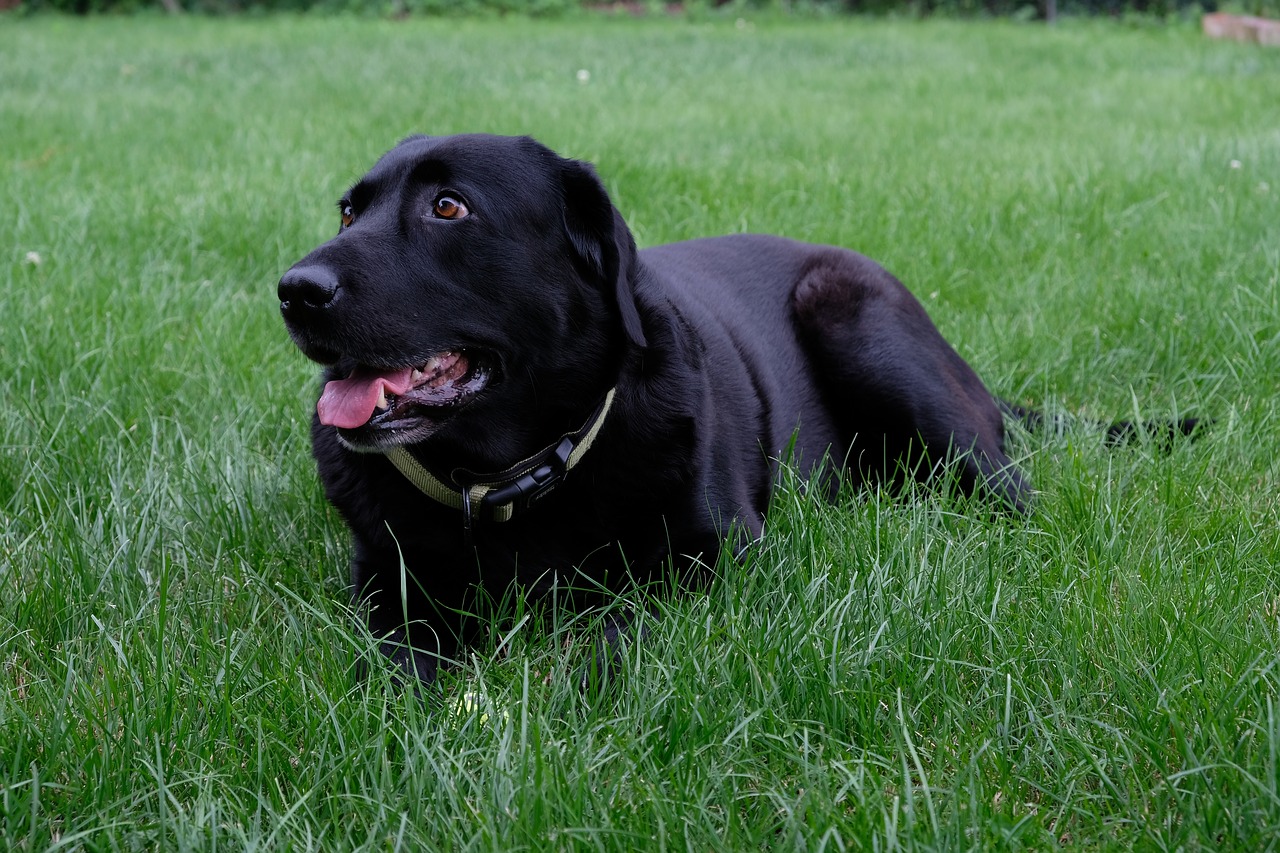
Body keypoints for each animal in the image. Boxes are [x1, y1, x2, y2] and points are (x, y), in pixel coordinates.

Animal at [277, 133, 1029, 686]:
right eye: (349, 212)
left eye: (449, 207)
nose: (294, 290)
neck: (511, 476)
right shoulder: (386, 577)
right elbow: (398, 658)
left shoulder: (717, 556)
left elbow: (618, 624)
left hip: (863, 327)